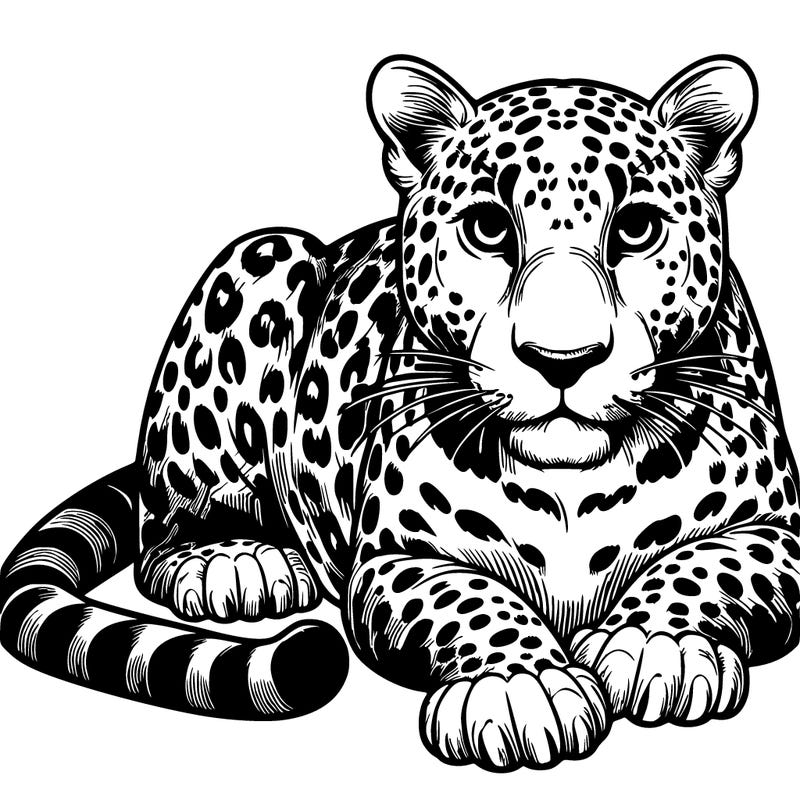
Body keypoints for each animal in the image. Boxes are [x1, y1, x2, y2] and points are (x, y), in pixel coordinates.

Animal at [2, 54, 799, 773]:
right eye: (488, 228)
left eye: (636, 228)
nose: (562, 359)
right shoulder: (398, 558)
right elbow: (474, 597)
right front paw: (520, 687)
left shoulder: (778, 532)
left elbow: (701, 564)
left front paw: (660, 646)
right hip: (262, 260)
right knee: (162, 528)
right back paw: (231, 561)